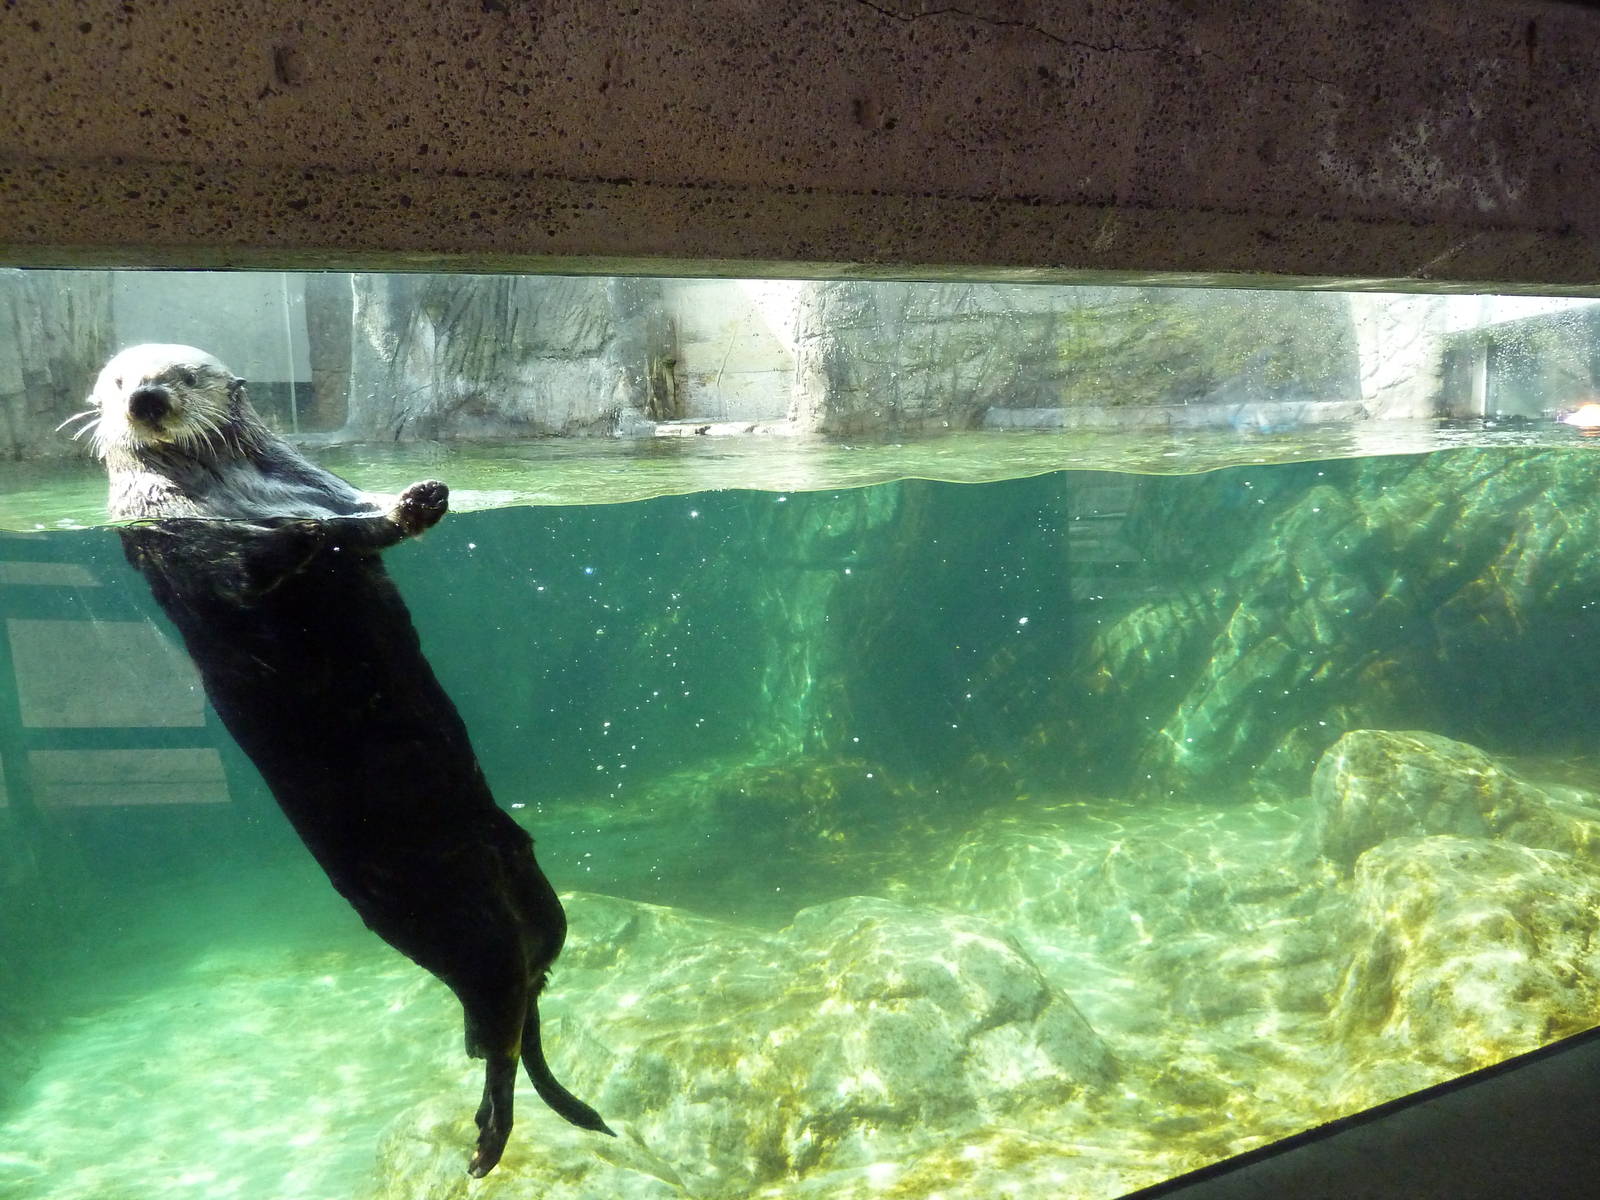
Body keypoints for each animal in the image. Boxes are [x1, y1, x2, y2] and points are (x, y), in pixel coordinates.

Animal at [82, 344, 613, 1177]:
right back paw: (487, 1140)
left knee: (521, 1004)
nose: (146, 400)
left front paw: (421, 498)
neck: (238, 488)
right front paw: (332, 526)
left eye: (185, 375)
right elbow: (263, 559)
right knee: (496, 1030)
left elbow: (352, 519)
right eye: (116, 381)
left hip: (538, 900)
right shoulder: (177, 534)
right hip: (464, 927)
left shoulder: (317, 485)